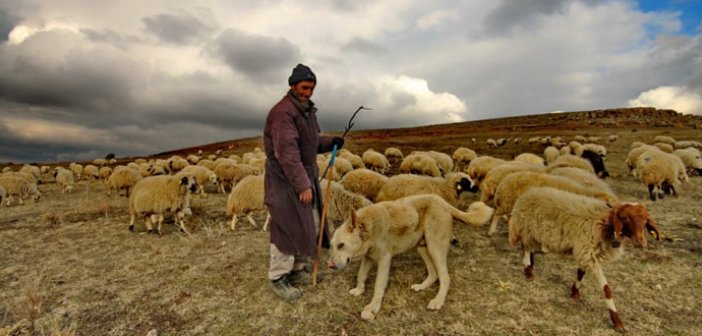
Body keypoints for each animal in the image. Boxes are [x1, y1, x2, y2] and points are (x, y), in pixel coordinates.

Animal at [328, 193, 492, 318]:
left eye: (341, 245)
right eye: (332, 246)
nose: (329, 265)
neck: (369, 227)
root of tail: (442, 201)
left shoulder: (384, 259)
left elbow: (378, 285)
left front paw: (372, 308)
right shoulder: (368, 257)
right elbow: (361, 275)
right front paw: (359, 289)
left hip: (435, 248)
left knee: (445, 277)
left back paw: (438, 301)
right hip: (423, 248)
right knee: (434, 273)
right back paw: (422, 286)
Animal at [512, 188, 660, 332]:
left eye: (645, 221)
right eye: (625, 218)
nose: (641, 242)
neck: (604, 224)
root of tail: (529, 192)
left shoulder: (586, 252)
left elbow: (581, 273)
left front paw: (575, 292)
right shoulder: (588, 251)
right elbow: (607, 289)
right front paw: (617, 322)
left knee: (530, 248)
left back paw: (531, 266)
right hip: (526, 228)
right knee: (526, 248)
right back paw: (528, 272)